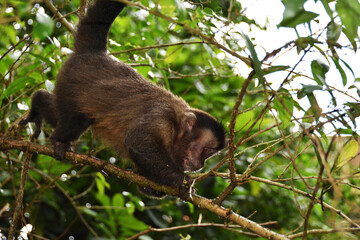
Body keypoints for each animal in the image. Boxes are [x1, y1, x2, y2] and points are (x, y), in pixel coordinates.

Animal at [20, 0, 225, 199]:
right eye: (206, 150)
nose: (201, 164)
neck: (177, 124)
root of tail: (95, 53)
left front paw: (155, 187)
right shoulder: (161, 117)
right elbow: (139, 142)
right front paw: (181, 180)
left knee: (61, 114)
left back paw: (39, 102)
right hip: (71, 81)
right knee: (77, 118)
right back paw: (59, 141)